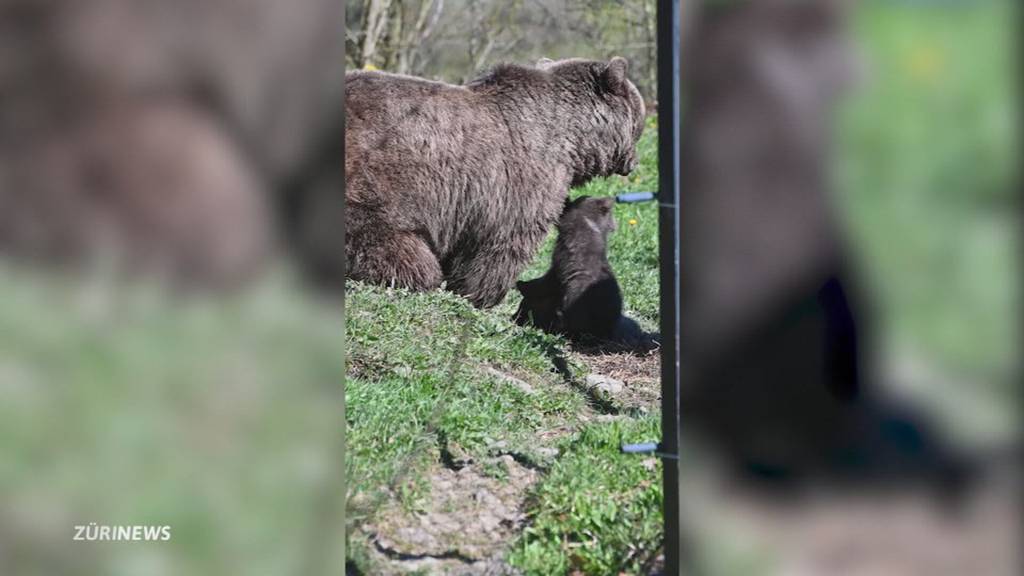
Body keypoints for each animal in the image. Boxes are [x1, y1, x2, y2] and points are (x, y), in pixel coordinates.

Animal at [344, 57, 646, 308]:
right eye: (640, 121)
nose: (634, 161)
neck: (575, 141)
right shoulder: (518, 182)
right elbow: (503, 244)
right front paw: (482, 295)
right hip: (377, 180)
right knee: (382, 237)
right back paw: (415, 274)